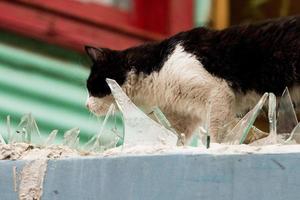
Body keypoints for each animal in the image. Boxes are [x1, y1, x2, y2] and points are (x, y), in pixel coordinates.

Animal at [84, 16, 300, 143]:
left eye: (91, 86)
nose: (86, 105)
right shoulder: (182, 116)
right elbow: (174, 137)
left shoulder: (217, 92)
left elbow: (218, 131)